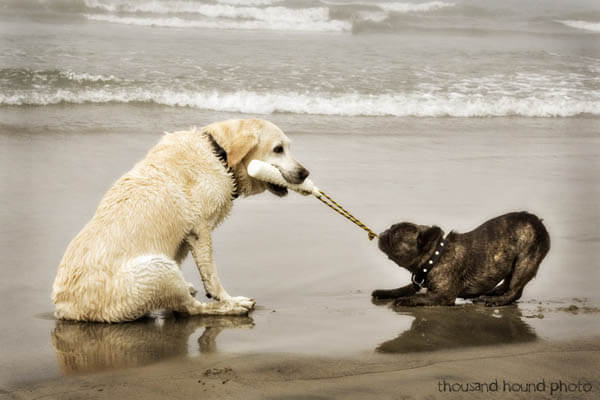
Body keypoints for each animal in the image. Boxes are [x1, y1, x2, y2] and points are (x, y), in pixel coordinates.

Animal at [51, 118, 310, 322]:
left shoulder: (186, 237)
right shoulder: (201, 230)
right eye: (278, 149)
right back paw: (232, 307)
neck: (219, 155)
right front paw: (226, 299)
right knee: (189, 310)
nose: (305, 172)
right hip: (157, 267)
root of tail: (66, 309)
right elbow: (212, 277)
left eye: (288, 147)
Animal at [372, 211, 552, 308]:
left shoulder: (443, 295)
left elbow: (418, 297)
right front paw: (385, 293)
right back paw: (490, 293)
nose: (384, 232)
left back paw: (496, 301)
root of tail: (538, 222)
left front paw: (405, 300)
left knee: (515, 290)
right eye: (391, 229)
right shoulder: (417, 282)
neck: (434, 257)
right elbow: (402, 289)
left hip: (524, 262)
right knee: (506, 284)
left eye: (396, 235)